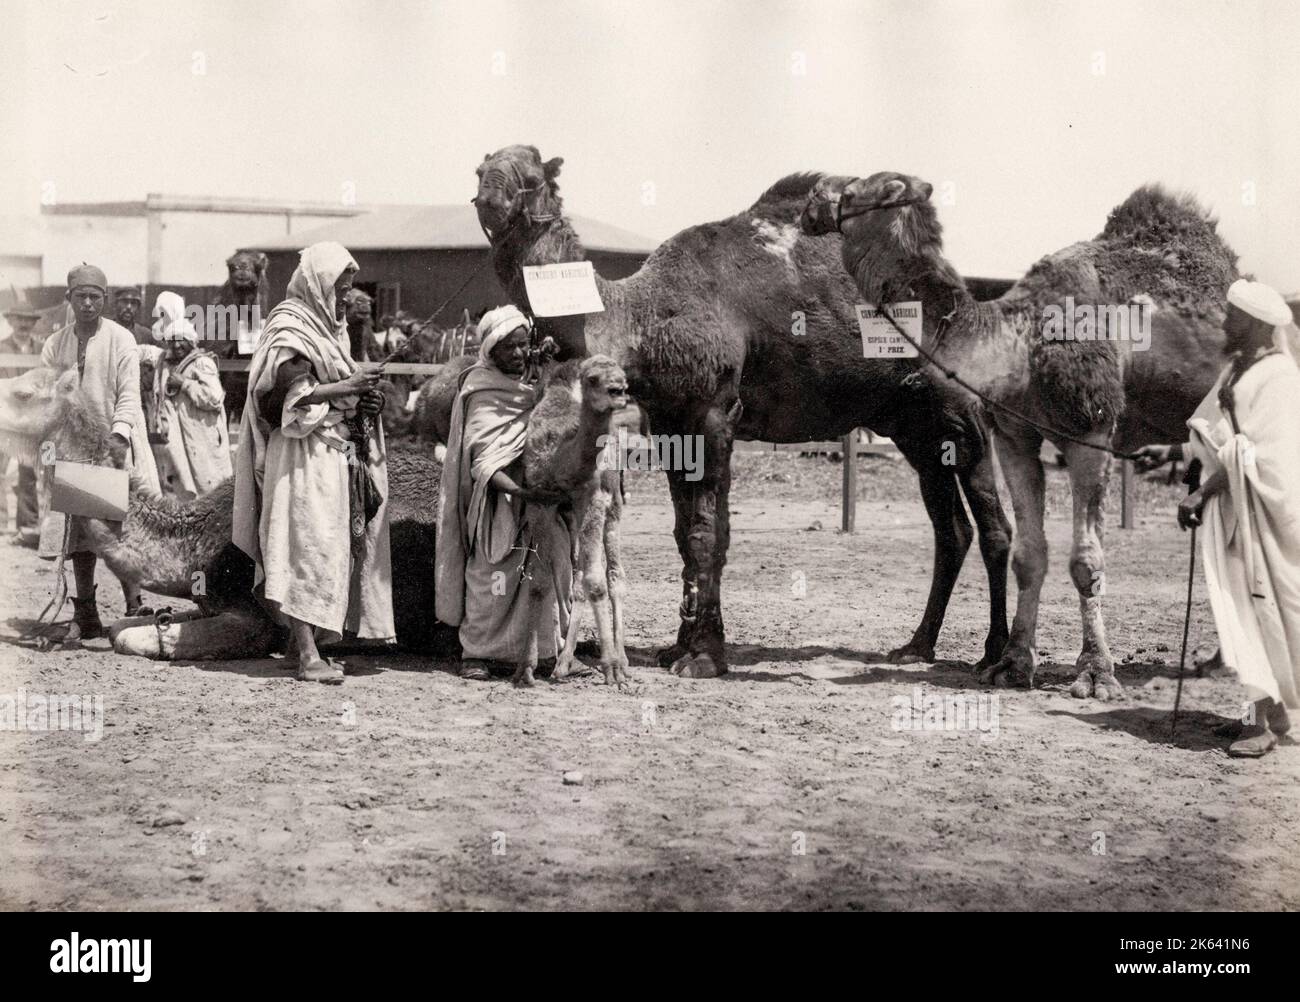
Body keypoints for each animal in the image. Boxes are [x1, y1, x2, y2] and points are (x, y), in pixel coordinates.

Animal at [506, 353, 629, 691]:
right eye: (592, 378)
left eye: (623, 374)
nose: (619, 390)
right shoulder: (539, 500)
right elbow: (539, 583)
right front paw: (524, 669)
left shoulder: (594, 497)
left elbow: (597, 583)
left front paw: (612, 669)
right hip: (569, 516)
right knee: (576, 577)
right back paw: (562, 664)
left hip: (613, 504)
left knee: (613, 575)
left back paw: (622, 659)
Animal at [800, 172, 1237, 701]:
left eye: (856, 190)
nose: (811, 202)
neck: (1019, 341)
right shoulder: (1015, 436)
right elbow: (1029, 555)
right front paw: (1010, 666)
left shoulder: (1091, 429)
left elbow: (1085, 561)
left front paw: (1096, 674)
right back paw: (1217, 663)